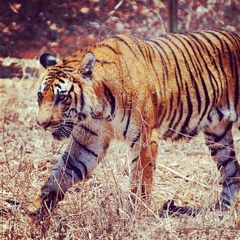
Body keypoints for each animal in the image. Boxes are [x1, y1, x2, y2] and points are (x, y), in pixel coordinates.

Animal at [29, 29, 240, 219]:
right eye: (40, 96)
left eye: (62, 97)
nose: (42, 124)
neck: (98, 108)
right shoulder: (87, 142)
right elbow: (60, 174)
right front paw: (37, 209)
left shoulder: (144, 138)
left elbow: (140, 182)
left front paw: (135, 217)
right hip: (217, 134)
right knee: (231, 170)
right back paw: (223, 210)